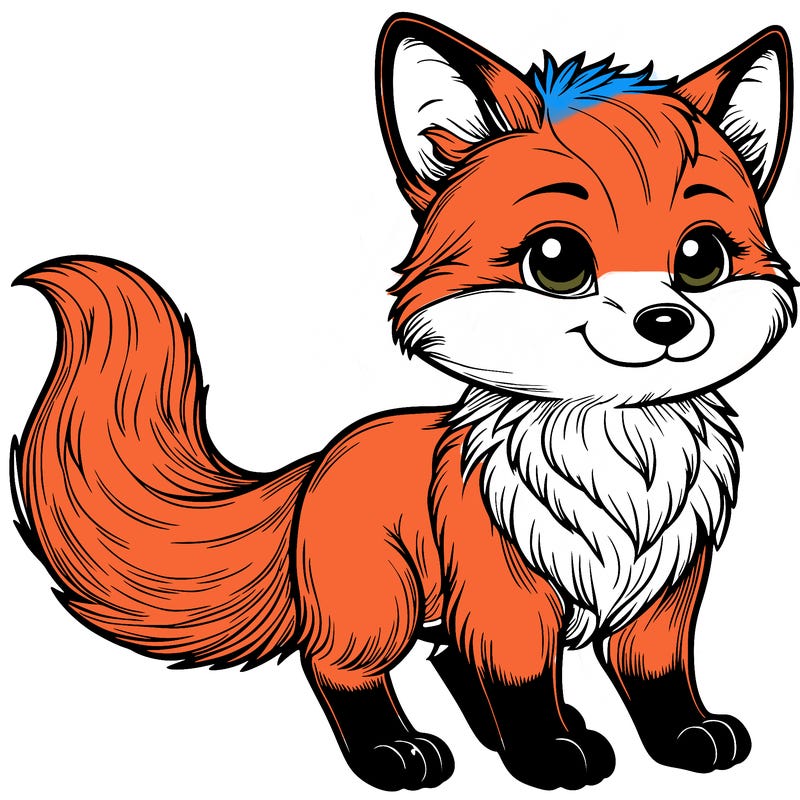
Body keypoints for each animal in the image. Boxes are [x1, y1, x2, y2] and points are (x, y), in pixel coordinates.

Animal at [10, 12, 795, 792]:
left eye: (700, 258)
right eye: (557, 261)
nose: (667, 322)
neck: (617, 455)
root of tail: (318, 464)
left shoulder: (666, 591)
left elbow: (659, 677)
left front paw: (685, 736)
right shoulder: (508, 592)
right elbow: (522, 679)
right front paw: (547, 752)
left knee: (447, 656)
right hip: (378, 607)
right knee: (338, 668)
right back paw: (395, 752)